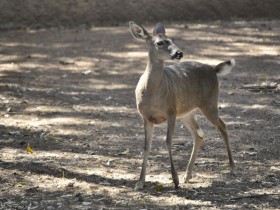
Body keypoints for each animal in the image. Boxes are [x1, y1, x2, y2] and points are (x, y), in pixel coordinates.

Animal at [130, 21, 236, 190]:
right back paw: (187, 175)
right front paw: (140, 183)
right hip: (187, 112)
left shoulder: (171, 111)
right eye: (159, 42)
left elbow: (168, 141)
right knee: (199, 135)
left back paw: (232, 168)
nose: (179, 53)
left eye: (172, 39)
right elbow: (146, 146)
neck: (152, 94)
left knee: (222, 126)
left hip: (210, 102)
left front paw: (175, 180)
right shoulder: (145, 116)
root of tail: (213, 70)